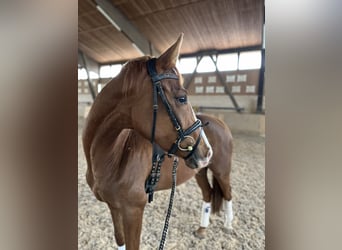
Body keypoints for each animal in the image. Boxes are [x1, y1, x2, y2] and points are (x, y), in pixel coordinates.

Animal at [82, 34, 211, 250]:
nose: (207, 152)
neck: (113, 156)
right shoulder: (114, 207)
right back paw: (202, 229)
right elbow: (120, 241)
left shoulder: (134, 211)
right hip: (201, 173)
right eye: (182, 98)